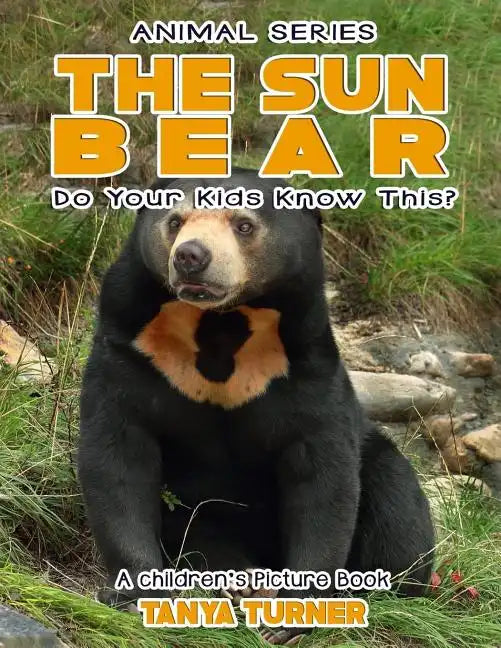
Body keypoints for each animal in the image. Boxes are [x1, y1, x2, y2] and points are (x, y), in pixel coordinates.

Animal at [78, 168, 435, 645]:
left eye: (243, 225)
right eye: (175, 221)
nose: (191, 256)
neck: (221, 324)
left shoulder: (304, 364)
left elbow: (322, 477)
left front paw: (286, 618)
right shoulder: (129, 349)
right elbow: (118, 457)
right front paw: (138, 594)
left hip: (381, 464)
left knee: (398, 508)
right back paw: (240, 580)